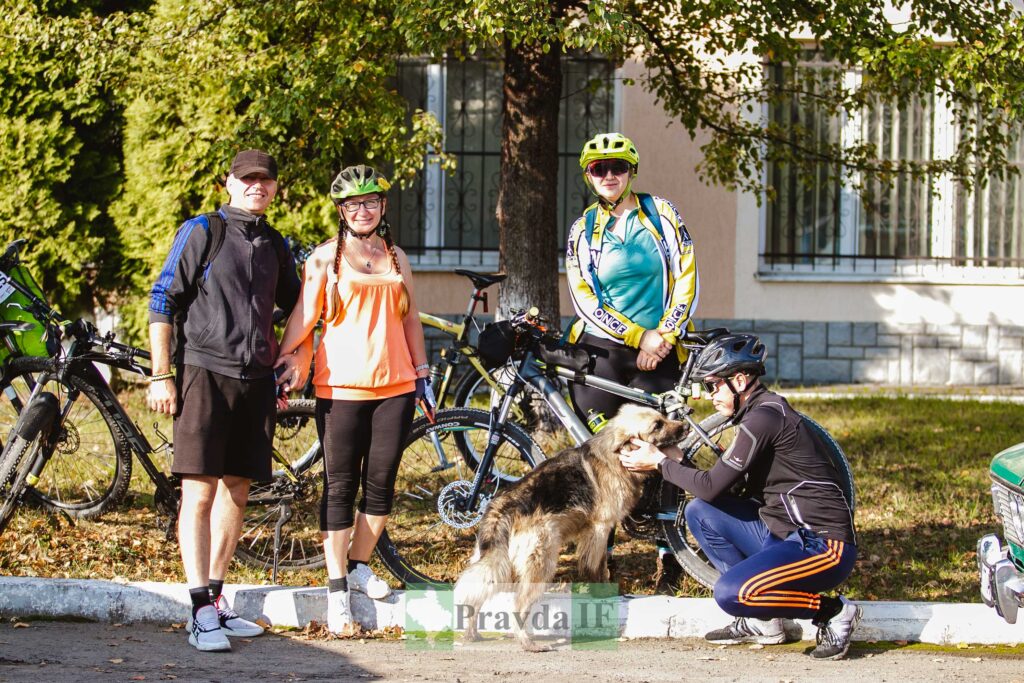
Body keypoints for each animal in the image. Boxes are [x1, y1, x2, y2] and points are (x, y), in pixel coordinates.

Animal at [454, 405, 688, 651]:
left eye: (662, 418)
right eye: (657, 425)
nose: (686, 426)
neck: (614, 456)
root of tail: (502, 505)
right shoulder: (599, 530)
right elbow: (596, 566)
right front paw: (602, 592)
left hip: (497, 562)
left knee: (478, 593)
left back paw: (471, 633)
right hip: (541, 563)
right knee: (518, 604)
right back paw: (527, 643)